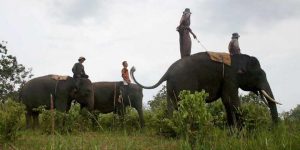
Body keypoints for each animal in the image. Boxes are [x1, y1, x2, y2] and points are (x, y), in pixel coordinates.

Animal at [131, 51, 282, 126]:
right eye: (259, 76)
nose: (273, 129)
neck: (238, 59)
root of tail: (167, 72)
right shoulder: (229, 77)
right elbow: (231, 100)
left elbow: (226, 102)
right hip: (183, 84)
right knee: (180, 105)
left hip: (171, 86)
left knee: (171, 106)